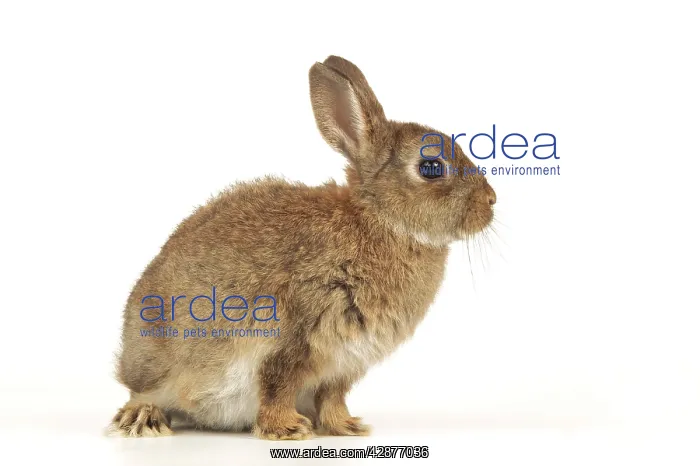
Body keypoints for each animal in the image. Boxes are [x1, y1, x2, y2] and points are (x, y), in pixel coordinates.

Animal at [110, 55, 497, 440]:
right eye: (430, 167)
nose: (490, 201)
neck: (379, 218)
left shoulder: (344, 364)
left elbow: (332, 396)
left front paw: (347, 427)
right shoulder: (292, 336)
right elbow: (278, 383)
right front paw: (288, 429)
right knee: (141, 391)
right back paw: (143, 418)